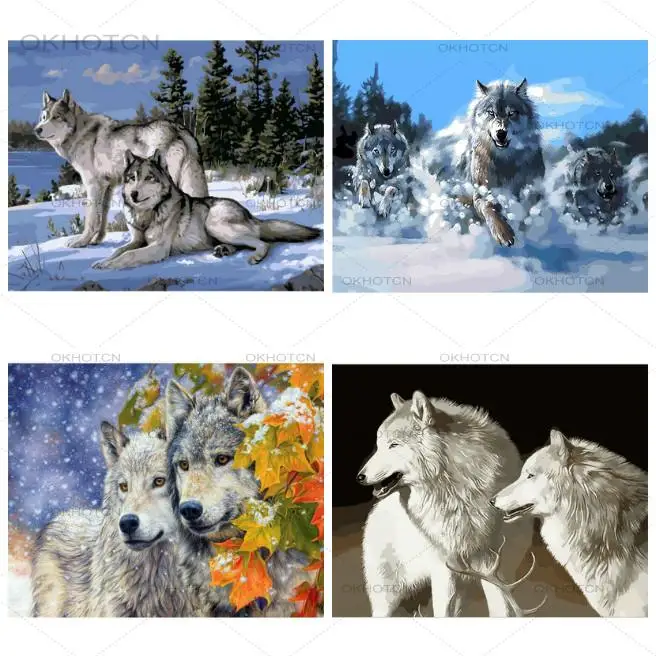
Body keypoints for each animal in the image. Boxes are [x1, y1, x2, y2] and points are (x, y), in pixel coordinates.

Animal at [34, 89, 208, 248]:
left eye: (56, 117)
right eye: (43, 117)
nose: (37, 129)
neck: (79, 133)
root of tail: (179, 129)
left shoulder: (93, 185)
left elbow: (92, 218)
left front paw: (82, 242)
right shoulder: (108, 186)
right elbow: (102, 216)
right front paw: (97, 240)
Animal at [92, 151, 321, 269]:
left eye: (149, 178)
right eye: (132, 178)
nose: (133, 194)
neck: (147, 214)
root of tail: (249, 214)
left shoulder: (158, 248)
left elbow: (128, 256)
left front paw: (108, 265)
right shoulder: (136, 240)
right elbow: (118, 251)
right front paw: (102, 261)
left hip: (214, 223)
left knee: (263, 243)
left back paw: (255, 256)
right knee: (244, 244)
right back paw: (223, 250)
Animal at [358, 392, 538, 617]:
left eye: (394, 445)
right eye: (379, 445)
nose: (359, 477)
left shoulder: (498, 568)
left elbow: (501, 610)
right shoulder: (443, 568)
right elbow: (442, 612)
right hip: (387, 596)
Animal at [457, 78, 545, 246]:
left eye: (512, 113)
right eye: (491, 113)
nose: (501, 133)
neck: (505, 161)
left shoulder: (532, 188)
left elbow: (527, 210)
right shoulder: (481, 192)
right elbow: (489, 207)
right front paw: (503, 232)